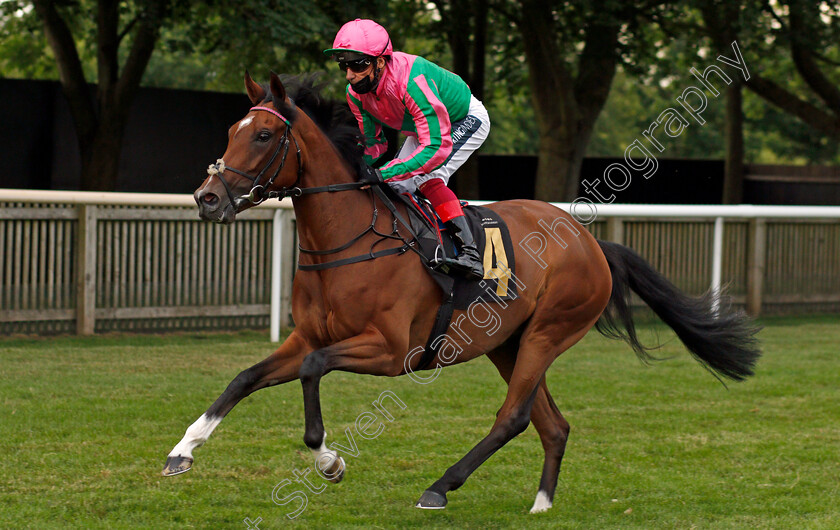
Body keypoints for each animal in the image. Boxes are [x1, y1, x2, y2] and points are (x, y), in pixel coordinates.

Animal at [166, 72, 760, 510]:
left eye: (264, 136)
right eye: (232, 132)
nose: (208, 198)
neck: (346, 241)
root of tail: (591, 242)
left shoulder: (391, 351)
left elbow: (314, 374)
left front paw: (329, 461)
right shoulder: (306, 337)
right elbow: (244, 378)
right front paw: (182, 450)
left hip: (548, 333)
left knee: (514, 417)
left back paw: (440, 487)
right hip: (506, 342)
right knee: (552, 424)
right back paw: (541, 504)